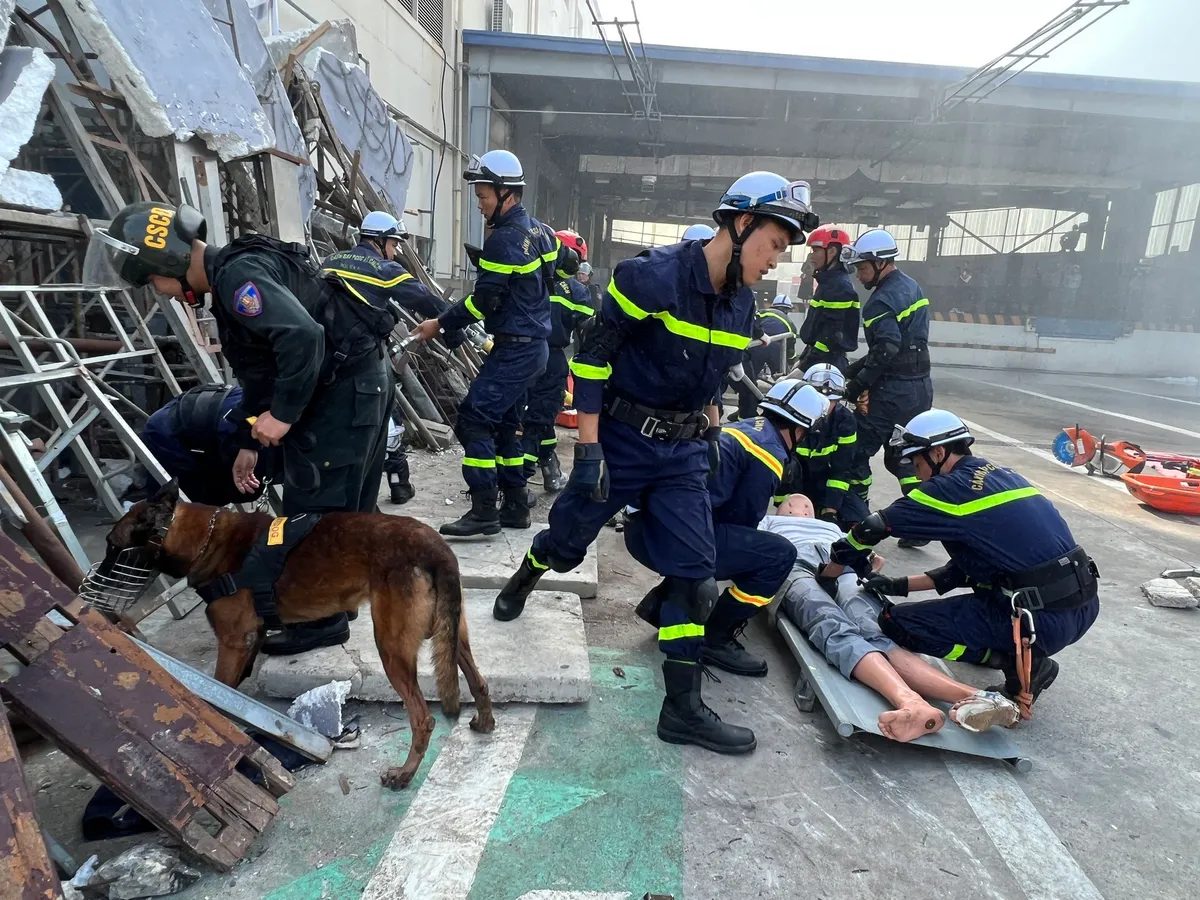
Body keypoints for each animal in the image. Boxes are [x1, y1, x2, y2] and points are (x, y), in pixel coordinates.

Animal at [96, 480, 494, 787]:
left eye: (113, 546)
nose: (96, 593)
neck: (203, 539)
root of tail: (434, 546)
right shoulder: (249, 641)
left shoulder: (232, 643)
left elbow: (220, 691)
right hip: (452, 633)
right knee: (478, 680)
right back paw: (484, 722)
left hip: (391, 648)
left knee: (422, 719)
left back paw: (406, 773)